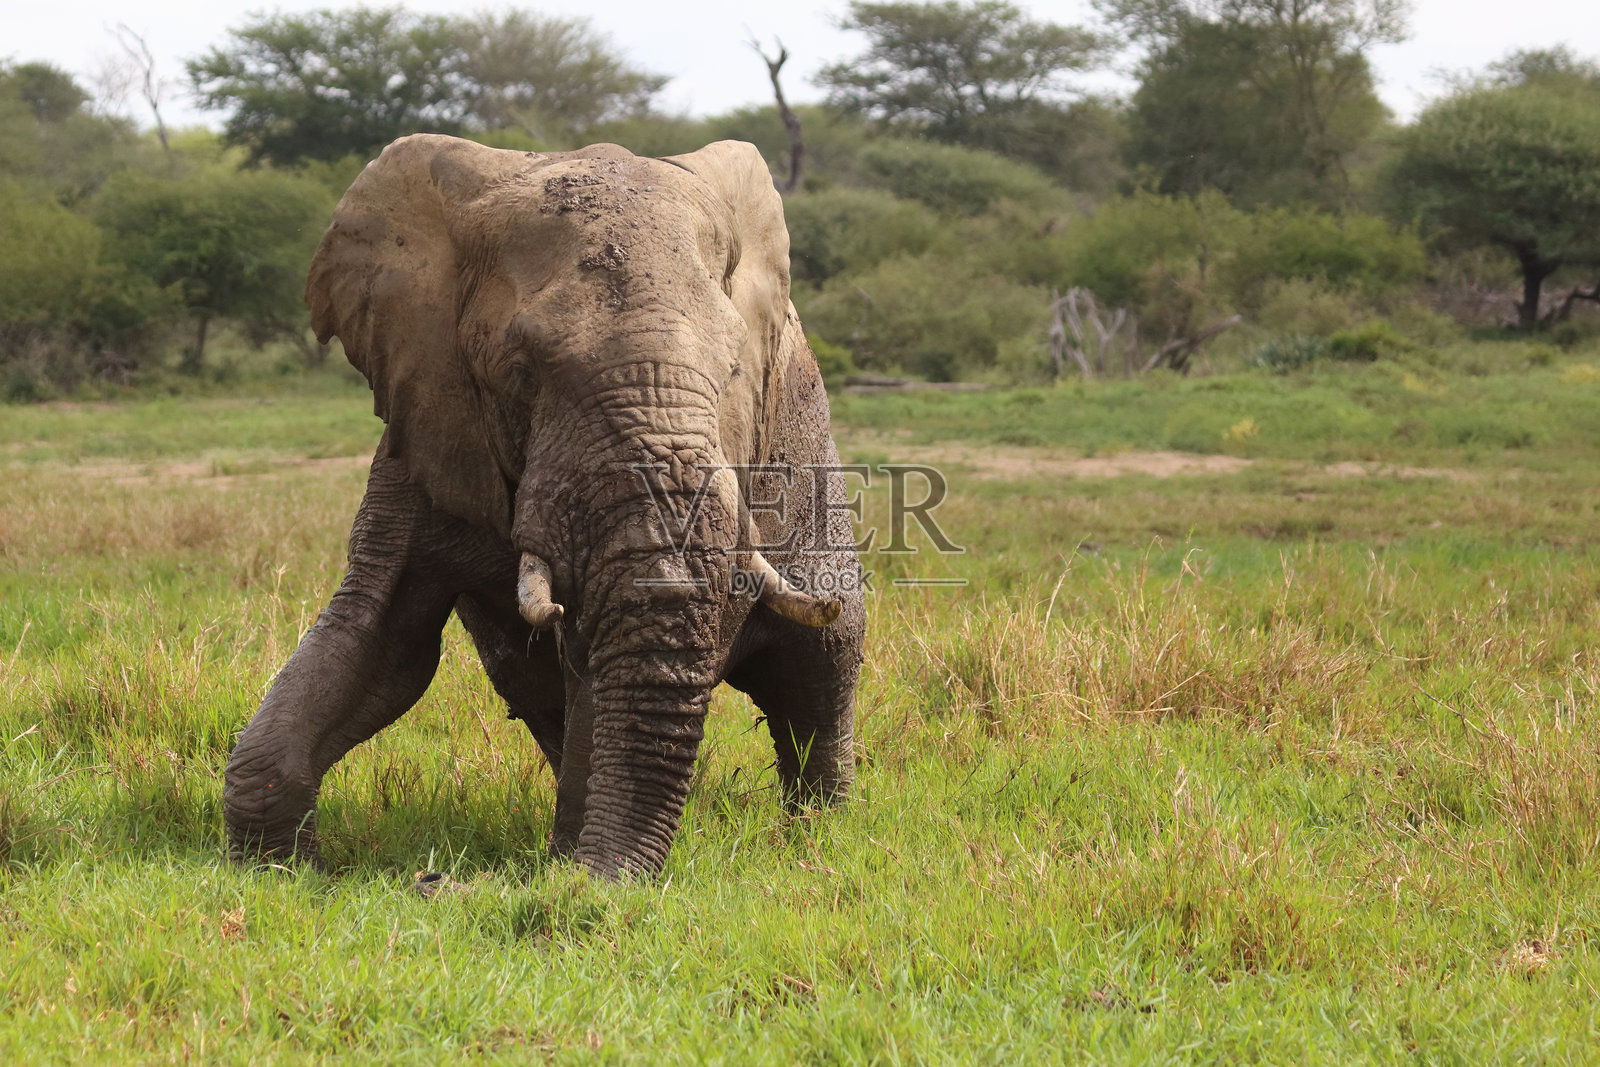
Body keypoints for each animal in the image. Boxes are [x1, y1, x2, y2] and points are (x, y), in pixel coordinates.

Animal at [223, 135, 865, 879]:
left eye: (736, 372)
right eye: (520, 371)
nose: (432, 880)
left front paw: (574, 880)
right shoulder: (424, 425)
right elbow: (382, 640)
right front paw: (282, 868)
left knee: (820, 662)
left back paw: (817, 833)